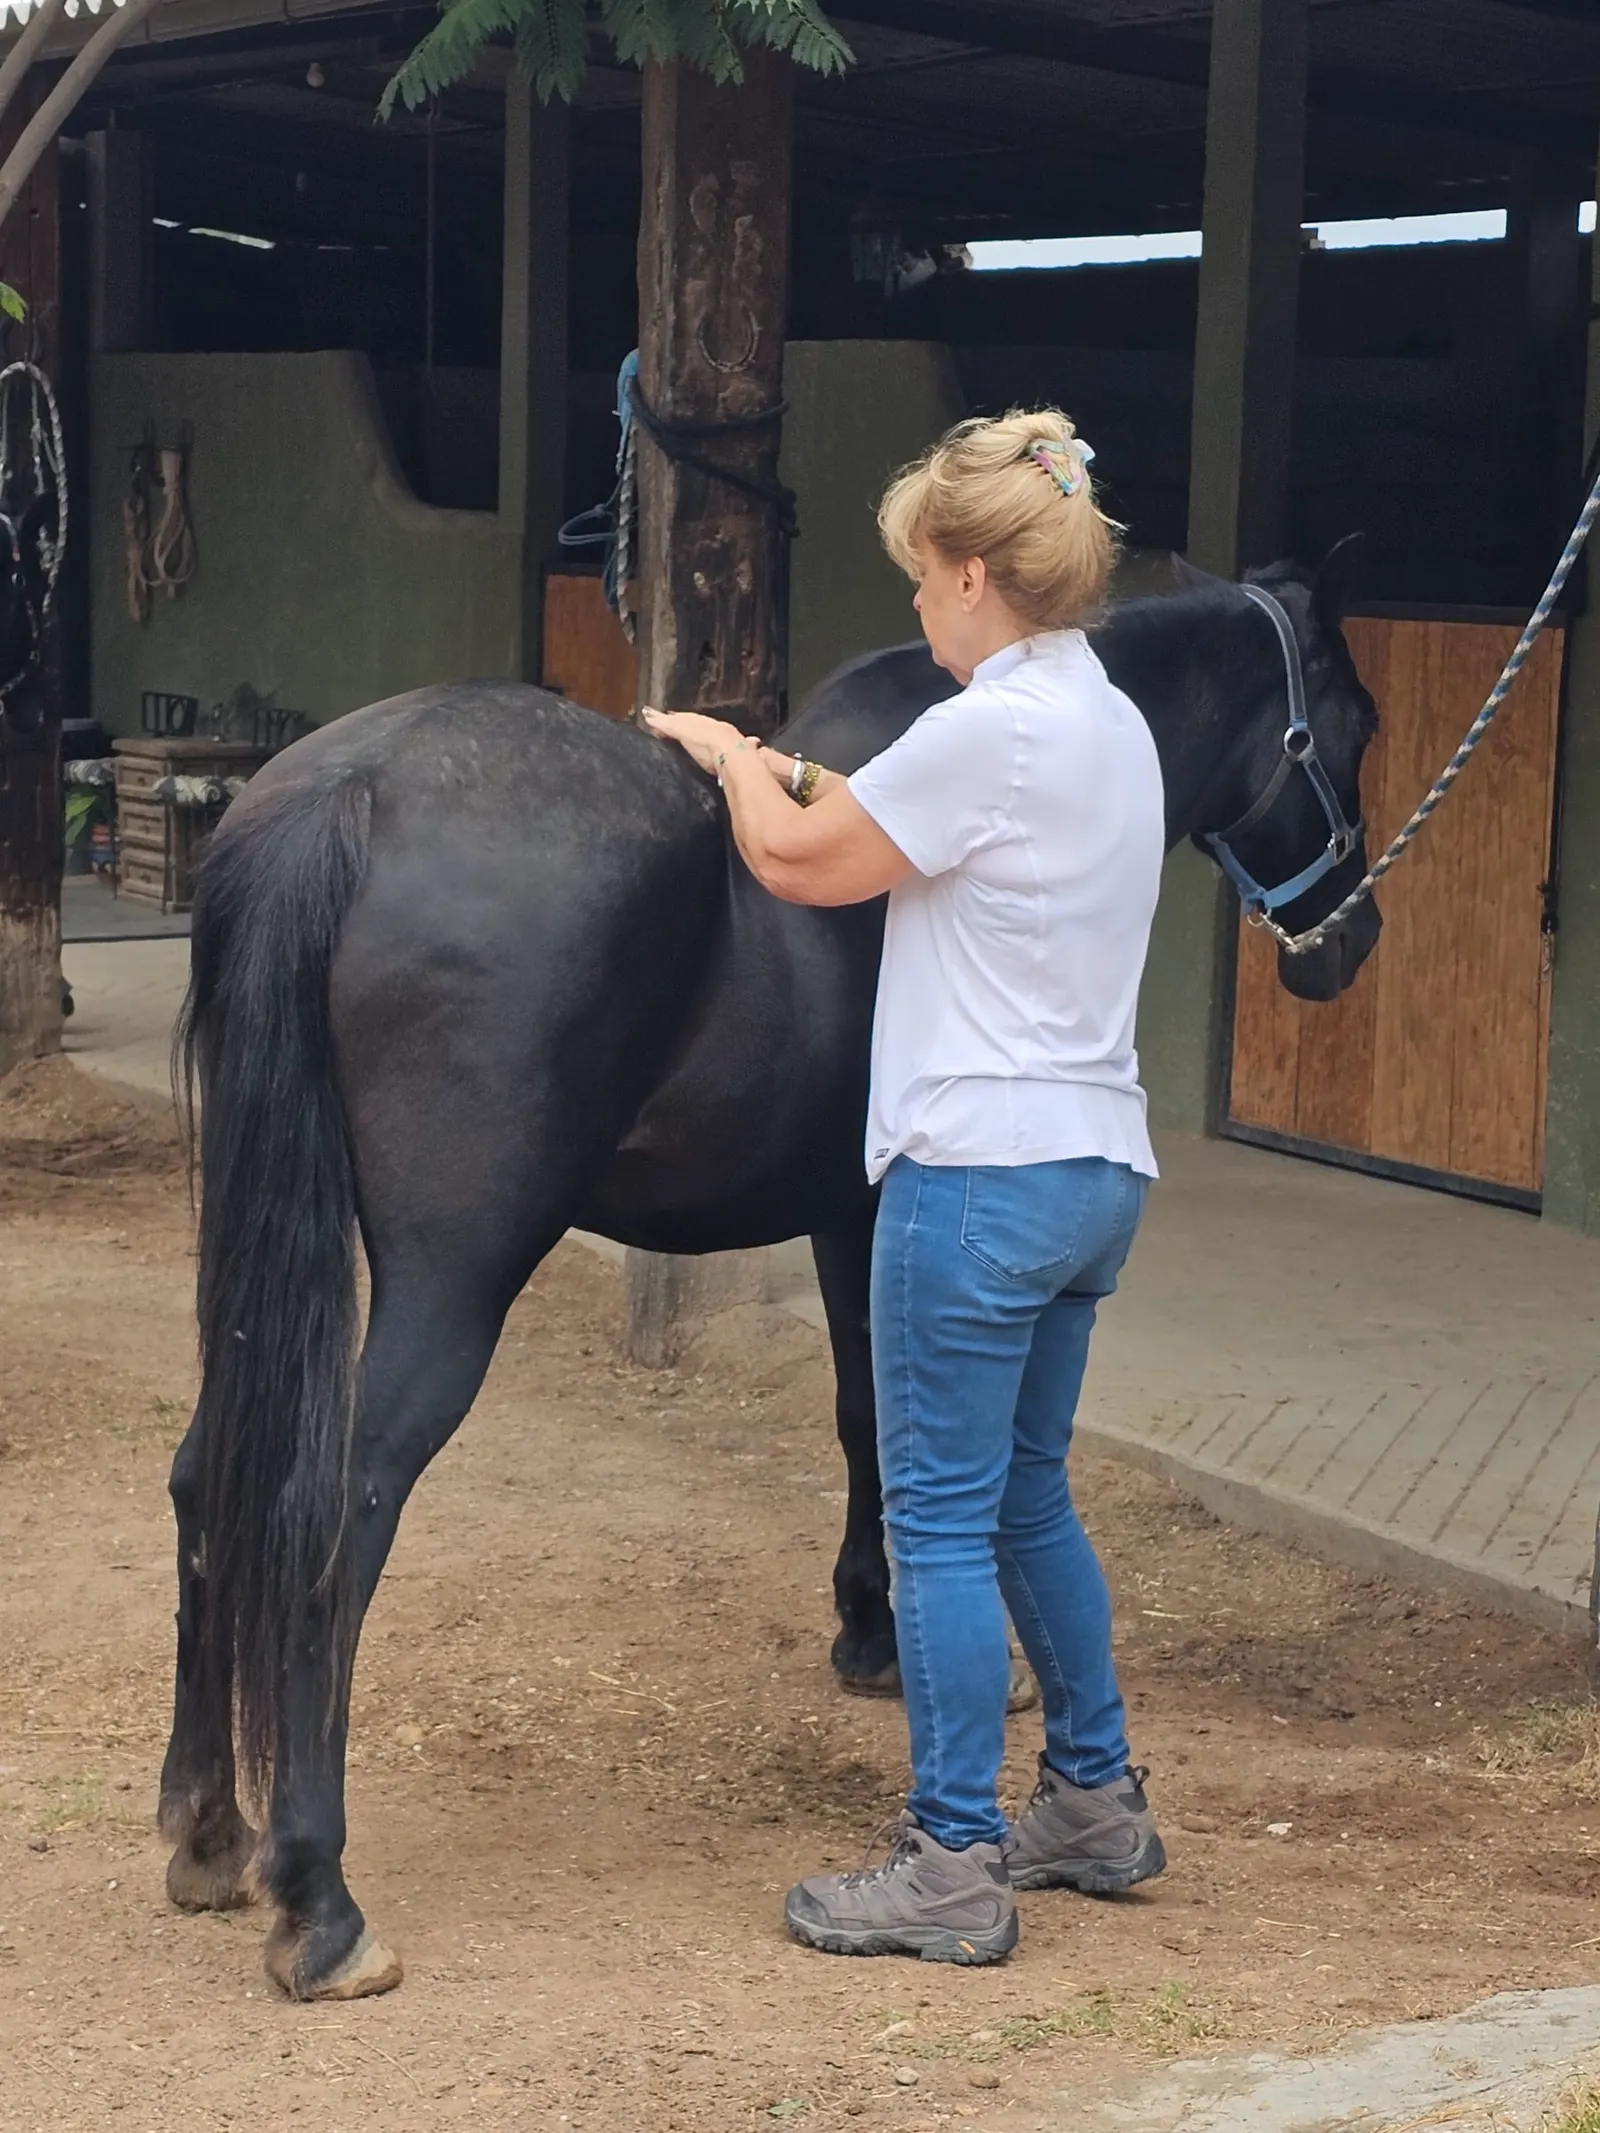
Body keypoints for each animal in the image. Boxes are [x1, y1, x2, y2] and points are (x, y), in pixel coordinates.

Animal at [157, 546, 1381, 2000]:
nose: (1349, 941)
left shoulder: (853, 1218)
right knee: (334, 1507)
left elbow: (866, 1416)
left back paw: (207, 1831)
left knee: (207, 1477)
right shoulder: (881, 1210)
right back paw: (321, 1906)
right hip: (453, 1281)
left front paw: (869, 1632)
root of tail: (346, 790)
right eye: (1355, 727)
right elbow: (893, 1426)